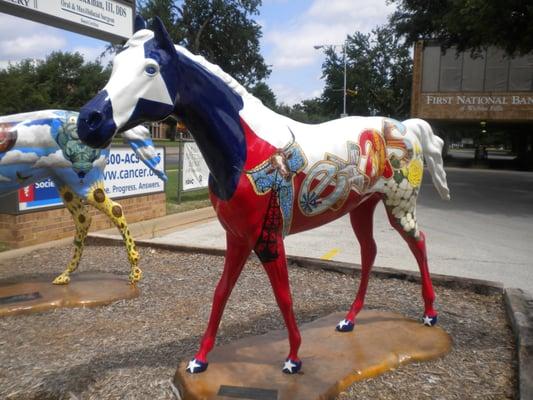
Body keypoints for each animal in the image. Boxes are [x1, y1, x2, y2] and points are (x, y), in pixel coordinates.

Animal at [0, 109, 166, 284]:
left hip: (82, 181)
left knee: (114, 209)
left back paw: (134, 270)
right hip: (64, 180)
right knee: (83, 218)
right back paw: (66, 273)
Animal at [76, 17, 448, 376]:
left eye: (151, 68)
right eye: (116, 63)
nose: (88, 121)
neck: (245, 149)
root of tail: (406, 127)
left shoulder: (268, 238)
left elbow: (283, 295)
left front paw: (293, 359)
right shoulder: (238, 236)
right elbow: (221, 292)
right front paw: (200, 359)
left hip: (399, 204)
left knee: (419, 243)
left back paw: (430, 313)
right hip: (361, 207)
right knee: (369, 252)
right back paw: (348, 320)